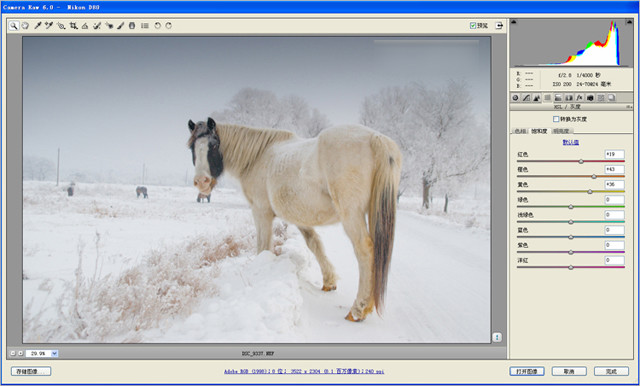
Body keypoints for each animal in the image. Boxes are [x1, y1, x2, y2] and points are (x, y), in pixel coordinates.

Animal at [188, 118, 402, 322]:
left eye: (214, 145)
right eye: (191, 147)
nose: (201, 182)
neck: (258, 157)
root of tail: (376, 138)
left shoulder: (261, 212)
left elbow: (263, 247)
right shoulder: (299, 217)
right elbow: (314, 244)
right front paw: (329, 281)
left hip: (352, 215)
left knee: (364, 251)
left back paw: (358, 310)